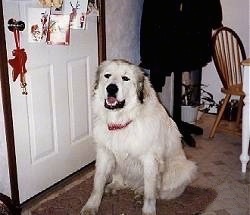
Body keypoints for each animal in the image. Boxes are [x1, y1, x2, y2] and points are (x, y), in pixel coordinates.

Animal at [80, 59, 197, 215]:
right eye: (107, 75)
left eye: (125, 78)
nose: (111, 88)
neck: (122, 121)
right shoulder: (104, 154)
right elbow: (97, 184)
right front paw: (91, 206)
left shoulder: (150, 161)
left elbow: (150, 193)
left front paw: (148, 210)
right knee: (120, 178)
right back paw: (115, 185)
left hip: (185, 168)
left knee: (158, 190)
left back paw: (141, 192)